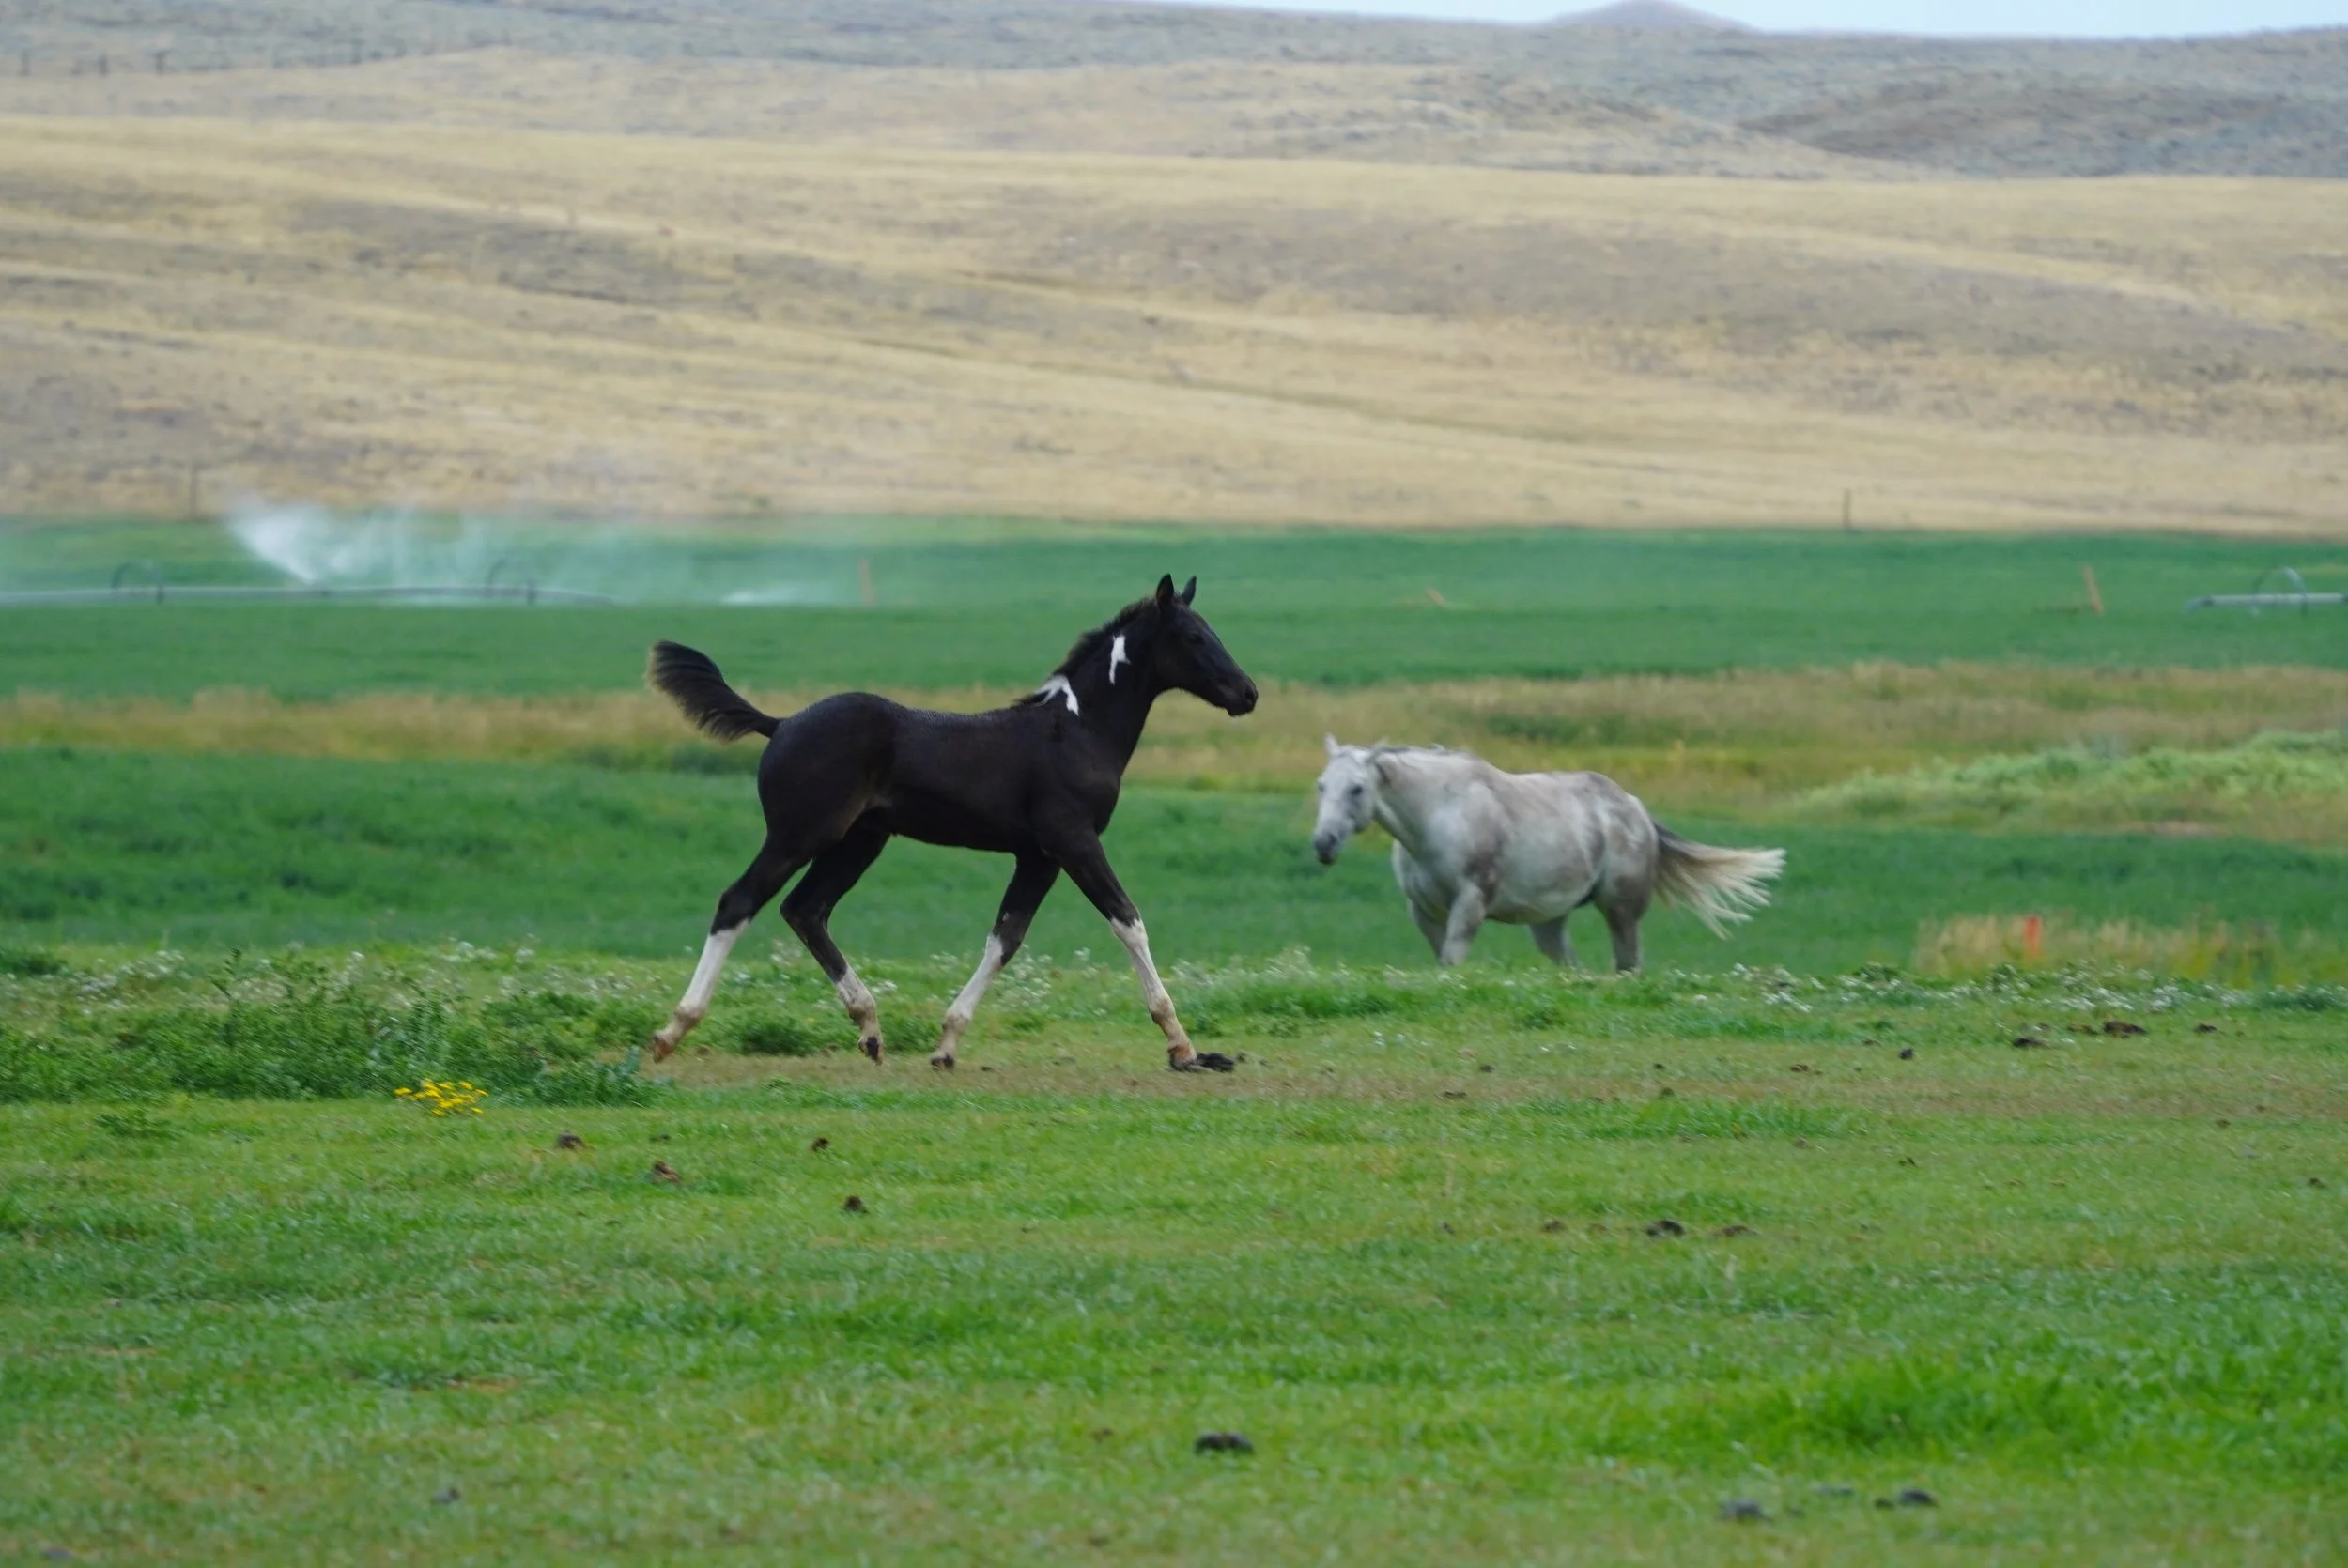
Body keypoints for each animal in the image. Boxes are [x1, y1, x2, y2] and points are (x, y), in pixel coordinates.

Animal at [644, 575, 1259, 1072]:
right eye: (1194, 637)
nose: (1248, 693)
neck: (1077, 729)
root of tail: (780, 724)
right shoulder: (1073, 842)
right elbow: (1128, 921)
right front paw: (1182, 1046)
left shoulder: (1038, 856)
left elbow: (1005, 939)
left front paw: (946, 1045)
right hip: (800, 834)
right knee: (739, 902)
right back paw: (673, 1030)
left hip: (858, 842)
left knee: (806, 910)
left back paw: (870, 1029)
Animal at [1309, 739, 1783, 971]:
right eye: (1321, 785)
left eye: (1357, 788)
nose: (1323, 843)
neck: (1439, 815)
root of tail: (1635, 808)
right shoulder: (1424, 910)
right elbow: (1440, 960)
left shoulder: (1470, 903)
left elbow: (1452, 960)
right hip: (1550, 921)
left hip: (1622, 911)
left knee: (1628, 964)